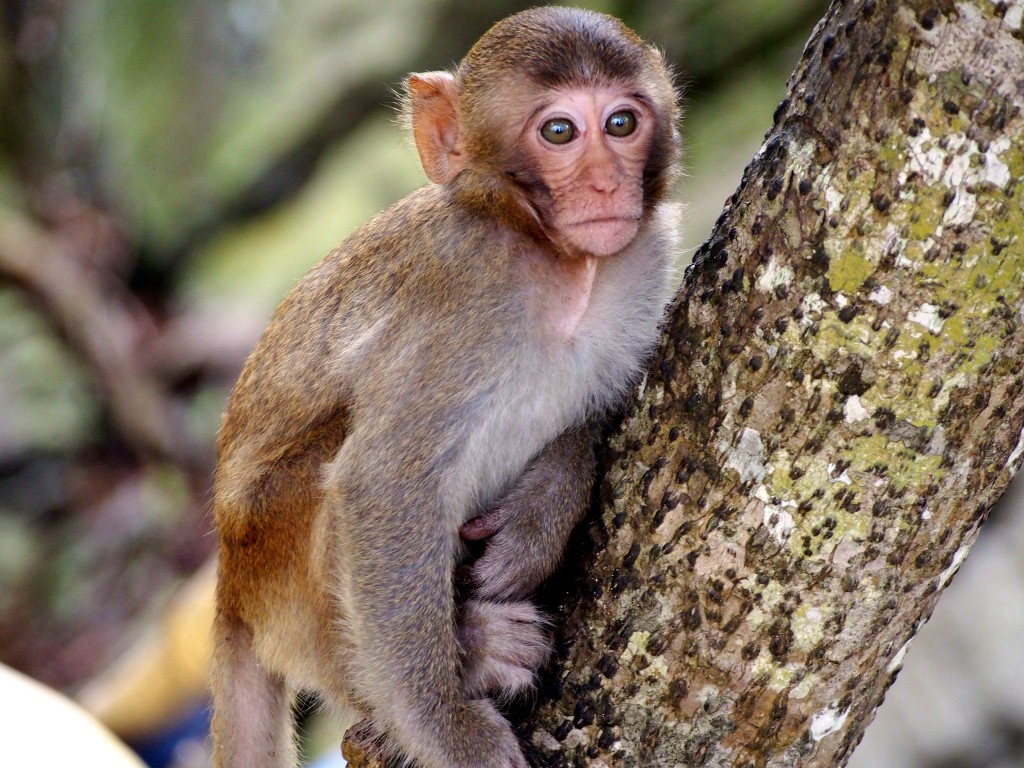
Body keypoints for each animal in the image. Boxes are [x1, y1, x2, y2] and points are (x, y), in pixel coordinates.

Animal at [209, 7, 679, 768]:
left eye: (621, 123)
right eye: (559, 132)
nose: (610, 185)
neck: (560, 265)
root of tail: (229, 585)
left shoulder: (648, 260)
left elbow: (603, 404)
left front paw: (540, 514)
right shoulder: (459, 298)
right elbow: (380, 482)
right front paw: (452, 730)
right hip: (276, 564)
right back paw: (470, 651)